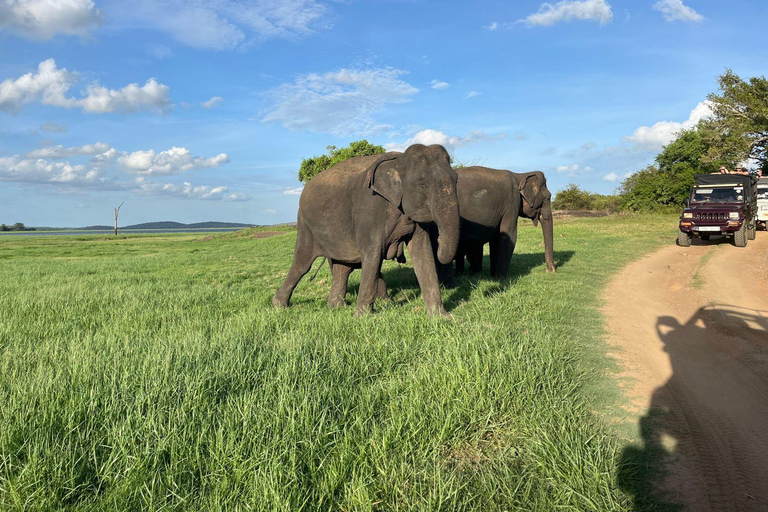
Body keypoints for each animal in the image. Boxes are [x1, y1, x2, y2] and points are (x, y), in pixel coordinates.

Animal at [272, 144, 460, 318]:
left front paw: (441, 317)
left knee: (342, 267)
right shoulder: (369, 210)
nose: (439, 239)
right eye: (422, 183)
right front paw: (362, 317)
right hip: (305, 225)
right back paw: (278, 306)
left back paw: (335, 307)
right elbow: (373, 255)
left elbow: (423, 252)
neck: (399, 161)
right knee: (302, 264)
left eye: (456, 180)